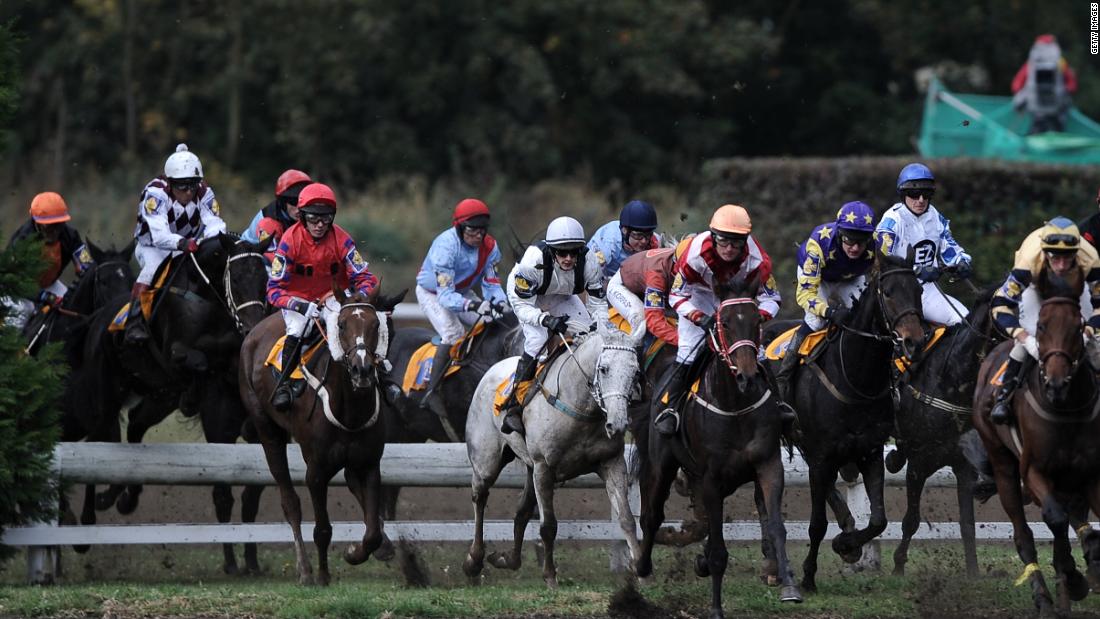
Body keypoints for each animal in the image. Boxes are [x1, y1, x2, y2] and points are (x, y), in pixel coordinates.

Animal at [238, 285, 407, 584]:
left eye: (378, 326)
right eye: (341, 325)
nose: (362, 369)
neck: (349, 410)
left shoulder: (369, 463)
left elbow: (372, 531)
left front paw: (356, 552)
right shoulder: (316, 470)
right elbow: (323, 528)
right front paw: (322, 575)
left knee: (352, 484)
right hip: (267, 430)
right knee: (289, 502)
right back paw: (304, 569)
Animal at [459, 325, 642, 584]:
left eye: (635, 372)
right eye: (604, 369)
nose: (617, 423)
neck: (580, 406)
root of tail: (493, 370)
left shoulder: (612, 462)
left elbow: (626, 518)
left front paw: (640, 568)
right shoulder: (544, 467)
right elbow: (548, 526)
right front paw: (549, 575)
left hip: (529, 467)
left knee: (522, 510)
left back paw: (508, 559)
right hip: (487, 460)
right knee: (480, 495)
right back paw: (473, 560)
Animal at [783, 253, 928, 593]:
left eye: (918, 290)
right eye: (887, 292)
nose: (914, 342)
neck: (854, 377)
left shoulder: (869, 451)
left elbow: (878, 520)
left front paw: (847, 545)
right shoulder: (823, 454)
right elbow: (816, 524)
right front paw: (808, 576)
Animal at [888, 283, 1003, 576]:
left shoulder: (964, 467)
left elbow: (967, 525)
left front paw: (973, 573)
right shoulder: (919, 463)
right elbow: (911, 520)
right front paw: (898, 567)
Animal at [976, 272, 1095, 619]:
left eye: (1078, 327)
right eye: (1040, 327)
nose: (1056, 383)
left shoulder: (1085, 472)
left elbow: (1079, 524)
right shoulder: (1033, 470)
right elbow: (1055, 517)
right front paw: (1072, 576)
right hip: (1002, 463)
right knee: (1023, 534)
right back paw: (1043, 597)